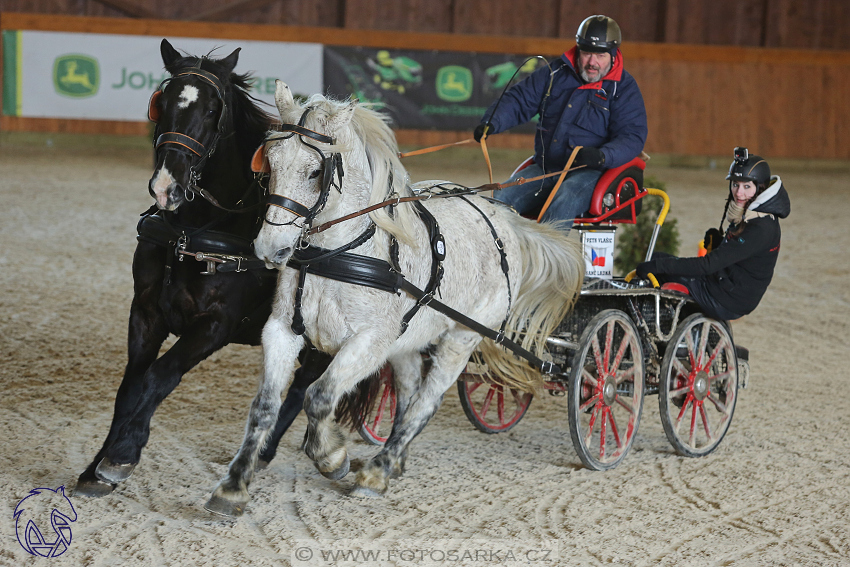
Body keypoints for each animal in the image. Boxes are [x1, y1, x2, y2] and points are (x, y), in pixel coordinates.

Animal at [72, 40, 344, 500]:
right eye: (162, 101)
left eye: (214, 109)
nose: (166, 186)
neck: (193, 231)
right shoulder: (145, 312)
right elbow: (130, 387)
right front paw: (97, 466)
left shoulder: (216, 324)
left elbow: (159, 377)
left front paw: (123, 454)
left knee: (304, 386)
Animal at [205, 81, 584, 520]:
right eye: (270, 163)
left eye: (315, 171)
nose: (270, 249)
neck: (334, 256)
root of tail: (504, 221)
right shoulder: (282, 331)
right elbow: (265, 406)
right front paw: (232, 486)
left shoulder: (369, 341)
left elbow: (319, 396)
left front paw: (333, 458)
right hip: (408, 339)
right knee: (408, 392)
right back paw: (393, 460)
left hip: (462, 337)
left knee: (427, 400)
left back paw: (378, 470)